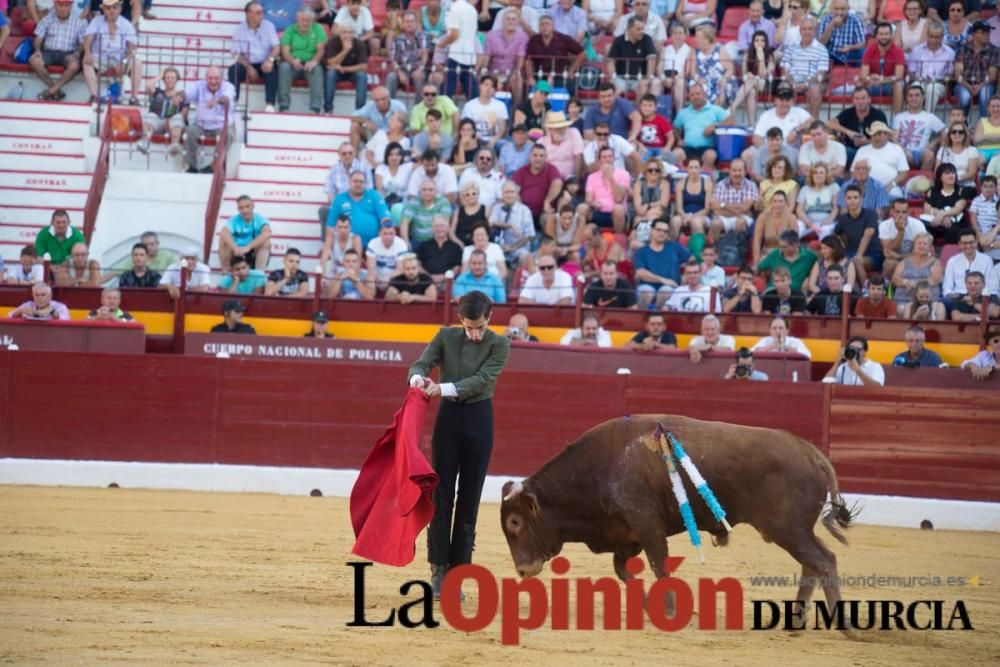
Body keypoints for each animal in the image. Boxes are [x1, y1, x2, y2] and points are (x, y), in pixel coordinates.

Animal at [500, 412, 860, 636]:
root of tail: (810, 451)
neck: (598, 468)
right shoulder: (628, 536)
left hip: (789, 530)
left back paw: (847, 628)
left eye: (516, 522)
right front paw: (650, 605)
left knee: (822, 561)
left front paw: (670, 612)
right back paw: (796, 621)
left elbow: (659, 566)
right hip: (795, 531)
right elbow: (623, 570)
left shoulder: (647, 525)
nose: (522, 570)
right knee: (812, 563)